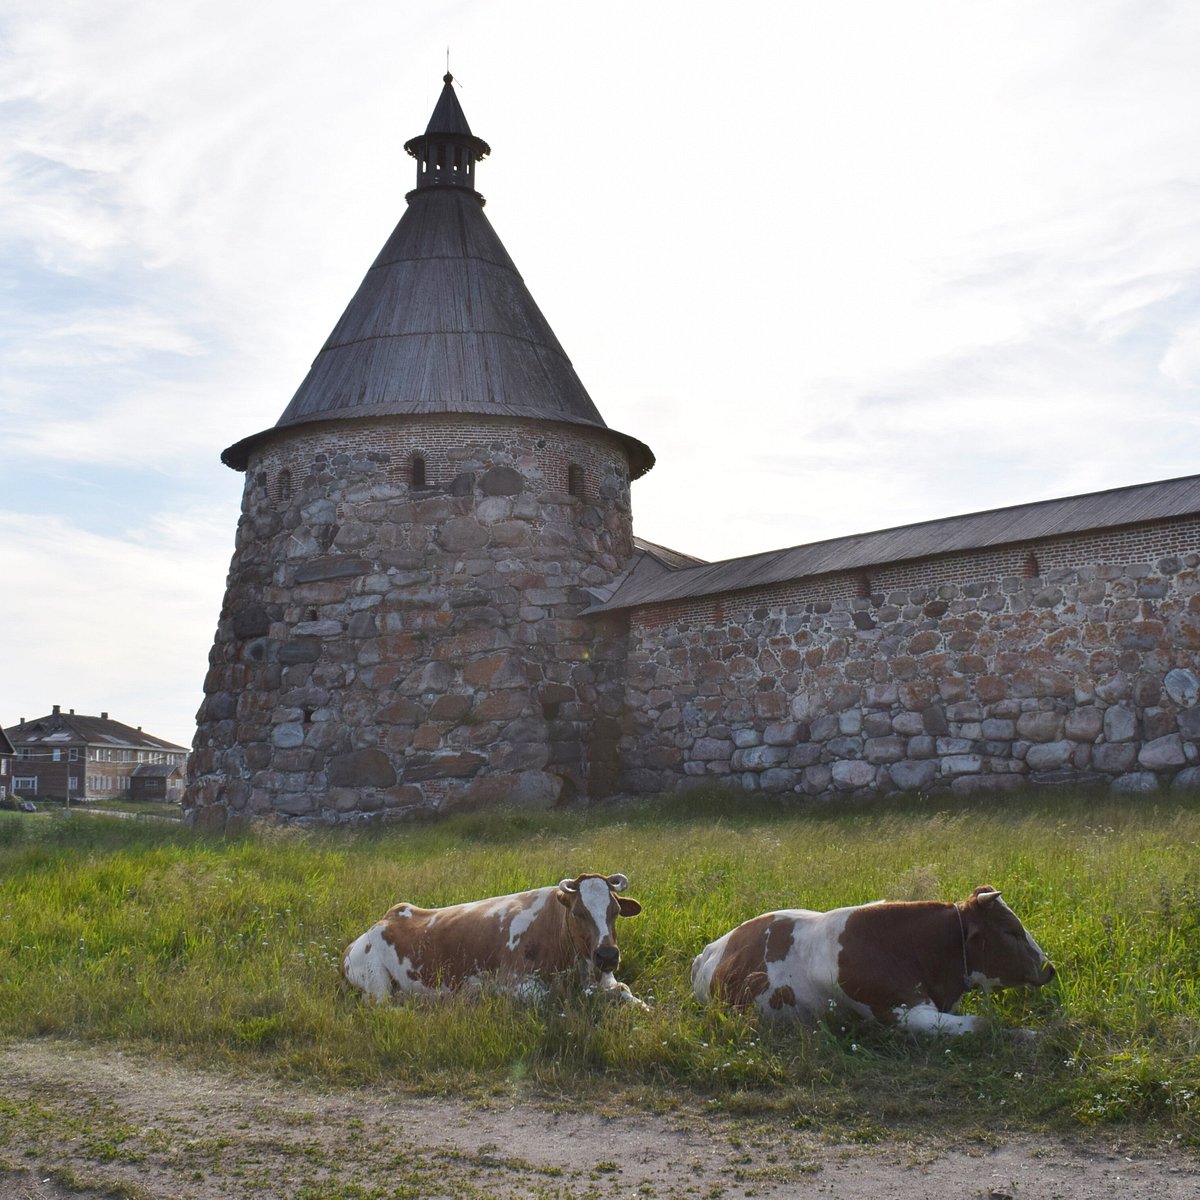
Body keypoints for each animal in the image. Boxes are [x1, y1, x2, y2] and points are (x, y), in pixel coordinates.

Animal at [343, 873, 643, 1003]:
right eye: (579, 912)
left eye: (615, 910)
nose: (607, 956)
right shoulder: (514, 981)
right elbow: (547, 996)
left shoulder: (604, 977)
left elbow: (624, 990)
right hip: (376, 981)